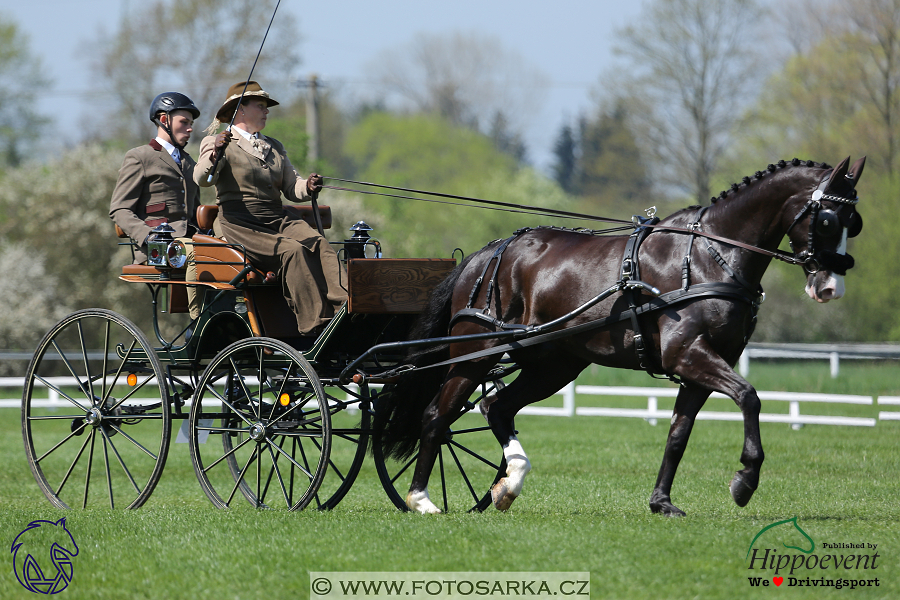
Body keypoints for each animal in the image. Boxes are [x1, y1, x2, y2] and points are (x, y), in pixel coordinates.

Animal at [374, 156, 864, 516]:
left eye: (853, 221)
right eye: (826, 220)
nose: (830, 287)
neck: (711, 255)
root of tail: (483, 255)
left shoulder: (697, 368)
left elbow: (678, 434)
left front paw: (662, 502)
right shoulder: (690, 355)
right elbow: (749, 396)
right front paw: (745, 481)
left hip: (553, 363)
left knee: (497, 407)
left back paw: (509, 483)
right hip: (475, 352)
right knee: (437, 415)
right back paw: (421, 499)